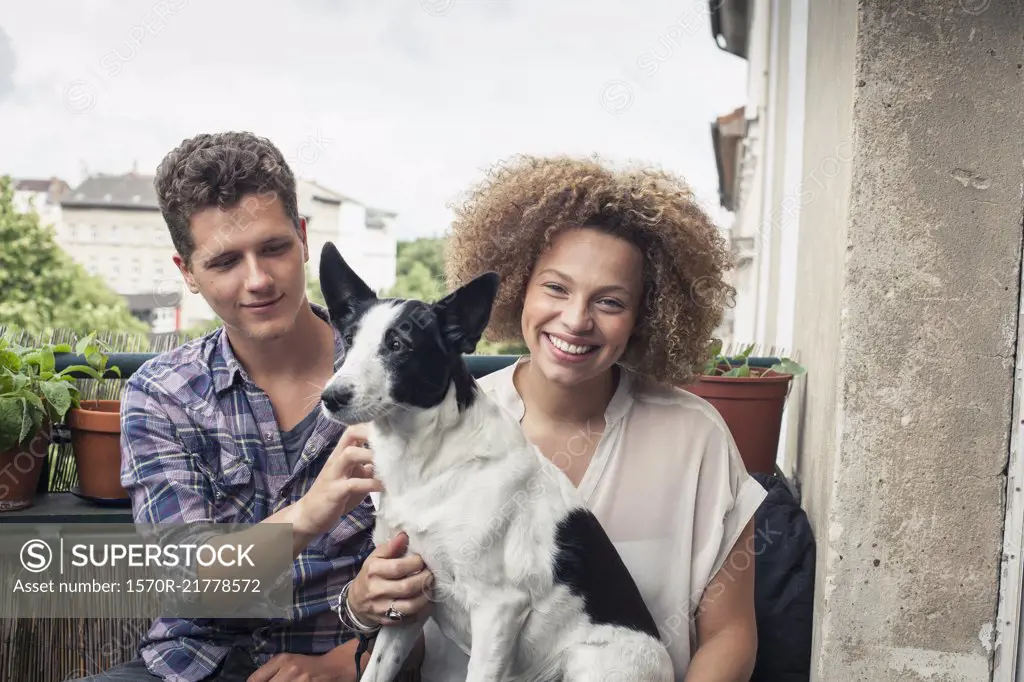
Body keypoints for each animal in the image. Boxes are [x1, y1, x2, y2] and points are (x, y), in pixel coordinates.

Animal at [315, 244, 675, 679]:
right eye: (349, 340)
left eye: (399, 345)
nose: (331, 398)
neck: (428, 464)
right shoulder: (409, 597)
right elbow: (377, 669)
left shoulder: (498, 607)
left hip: (585, 660)